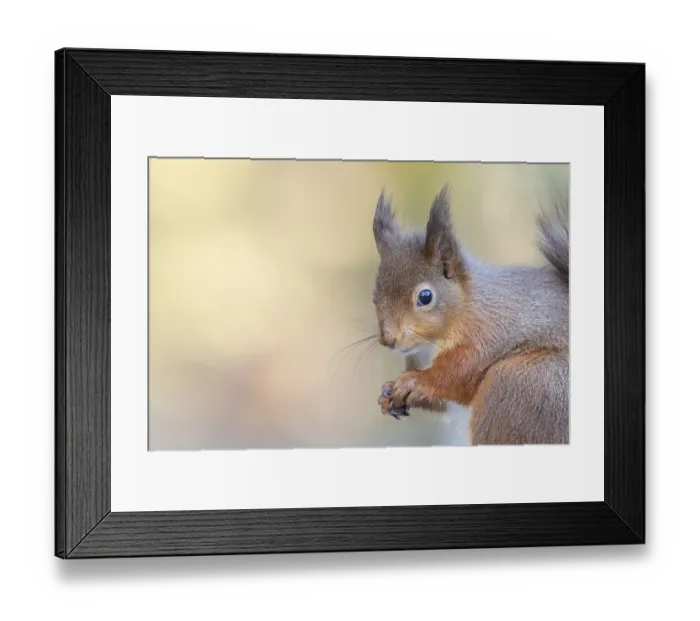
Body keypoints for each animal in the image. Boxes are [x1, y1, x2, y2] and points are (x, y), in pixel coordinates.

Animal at [372, 185, 569, 445]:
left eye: (425, 297)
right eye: (374, 296)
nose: (388, 339)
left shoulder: (490, 331)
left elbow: (458, 374)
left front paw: (414, 380)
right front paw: (387, 393)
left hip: (520, 384)